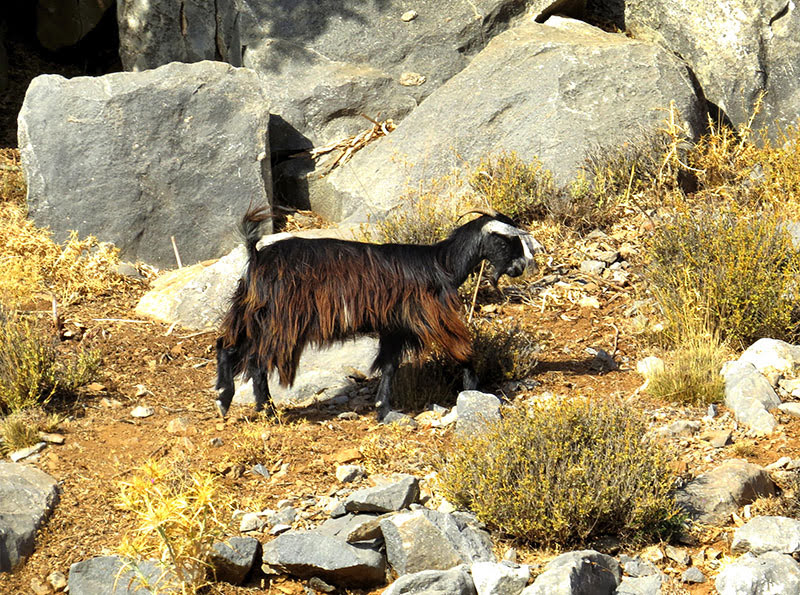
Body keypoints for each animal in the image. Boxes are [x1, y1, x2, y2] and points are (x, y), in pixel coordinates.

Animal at [214, 207, 544, 422]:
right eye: (506, 239)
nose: (521, 267)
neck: (441, 264)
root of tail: (256, 255)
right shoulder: (429, 316)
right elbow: (463, 349)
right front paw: (476, 391)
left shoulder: (394, 326)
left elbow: (388, 365)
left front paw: (383, 409)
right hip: (281, 319)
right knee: (257, 359)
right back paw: (260, 408)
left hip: (253, 313)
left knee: (230, 347)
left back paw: (232, 400)